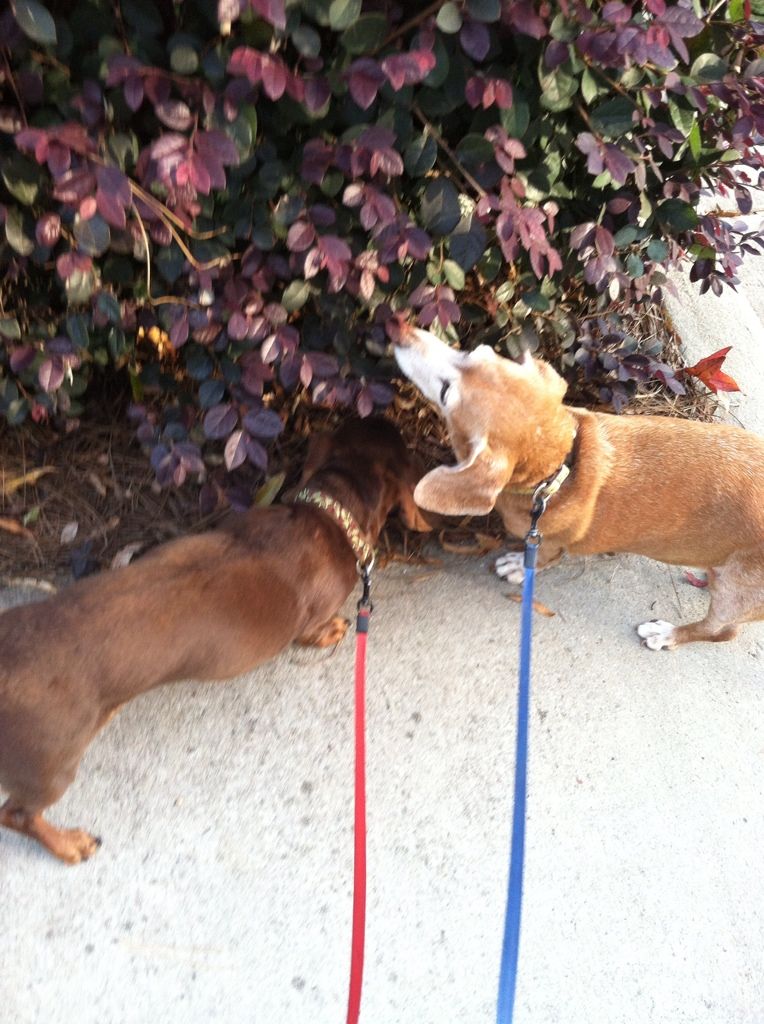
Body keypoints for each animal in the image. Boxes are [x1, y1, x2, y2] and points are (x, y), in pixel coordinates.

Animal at [0, 417, 428, 864]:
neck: (325, 515)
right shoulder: (312, 618)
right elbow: (316, 630)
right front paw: (333, 632)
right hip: (52, 765)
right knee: (16, 814)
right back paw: (69, 844)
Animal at [395, 327, 764, 647]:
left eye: (446, 393)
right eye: (474, 351)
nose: (399, 329)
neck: (559, 468)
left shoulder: (548, 541)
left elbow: (543, 558)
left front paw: (519, 567)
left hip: (732, 596)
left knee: (719, 630)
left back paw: (667, 635)